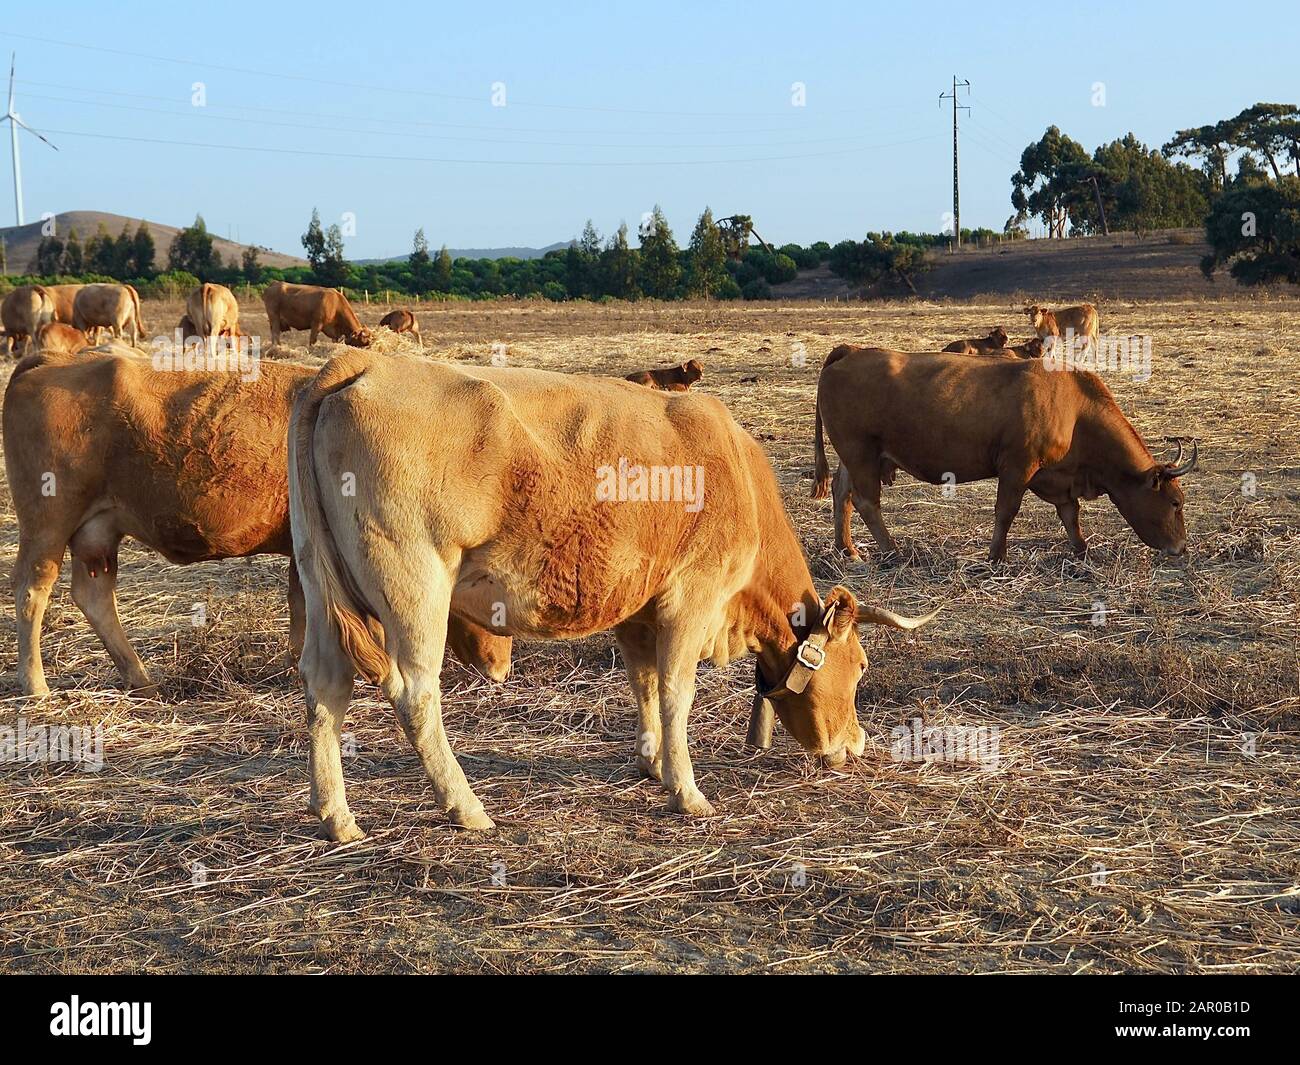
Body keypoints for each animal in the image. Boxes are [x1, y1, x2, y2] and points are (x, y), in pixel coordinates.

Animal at [4, 349, 512, 699]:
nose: (501, 671)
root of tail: (55, 359)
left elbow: (303, 610)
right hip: (47, 523)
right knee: (32, 591)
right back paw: (35, 684)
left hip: (97, 532)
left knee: (93, 595)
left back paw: (140, 678)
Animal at [288, 351, 939, 841]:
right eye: (860, 666)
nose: (856, 744)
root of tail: (357, 363)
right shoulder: (689, 600)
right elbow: (676, 693)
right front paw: (687, 791)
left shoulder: (638, 610)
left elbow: (644, 685)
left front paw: (652, 764)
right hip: (414, 586)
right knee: (415, 694)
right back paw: (466, 806)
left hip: (321, 588)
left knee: (325, 686)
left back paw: (336, 816)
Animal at [810, 345, 1196, 562]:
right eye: (1175, 502)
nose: (1181, 548)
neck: (1075, 407)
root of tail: (851, 352)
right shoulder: (1018, 467)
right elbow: (1006, 511)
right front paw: (996, 556)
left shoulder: (1057, 476)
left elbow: (1070, 514)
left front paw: (1083, 550)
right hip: (861, 452)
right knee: (866, 503)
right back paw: (892, 552)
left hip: (854, 457)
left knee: (842, 495)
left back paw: (848, 550)